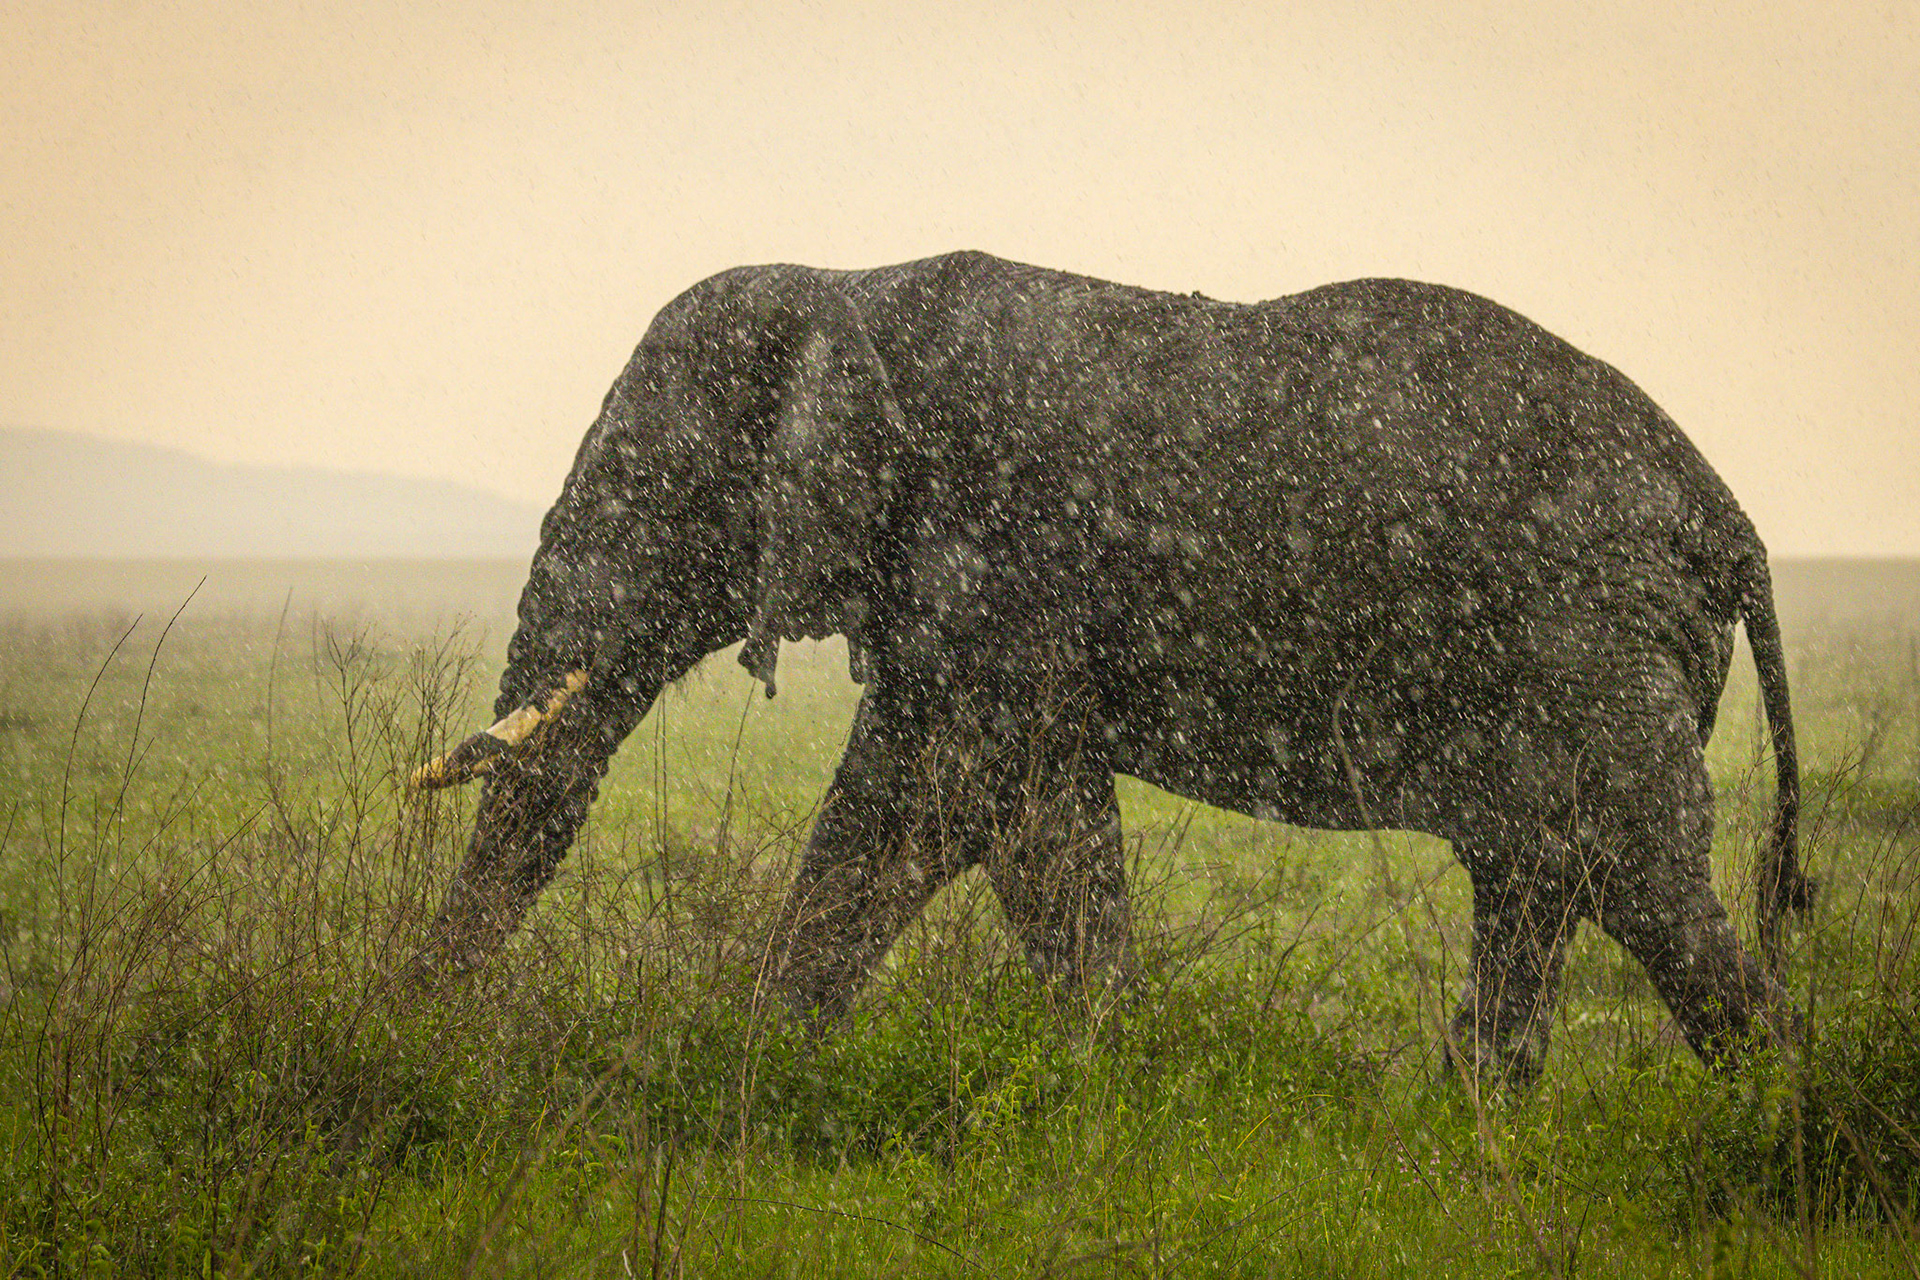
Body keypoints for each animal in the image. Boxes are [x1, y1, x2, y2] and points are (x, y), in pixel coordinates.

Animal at [409, 250, 1811, 1088]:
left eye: (648, 493)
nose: (423, 1018)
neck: (845, 284)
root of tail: (1732, 520)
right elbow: (1005, 814)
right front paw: (1104, 1079)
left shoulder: (990, 554)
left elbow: (953, 796)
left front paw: (744, 1062)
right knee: (1536, 879)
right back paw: (1473, 1132)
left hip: (1590, 641)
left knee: (1637, 882)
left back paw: (1773, 1116)